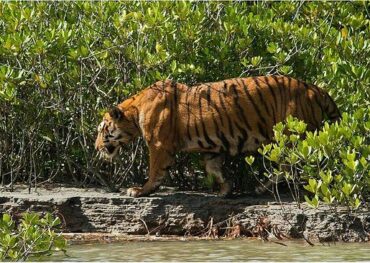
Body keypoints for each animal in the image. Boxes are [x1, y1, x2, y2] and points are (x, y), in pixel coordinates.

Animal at [94, 75, 342, 197]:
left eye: (102, 129)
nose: (96, 147)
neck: (135, 111)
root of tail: (316, 89)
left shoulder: (159, 144)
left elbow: (154, 171)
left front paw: (140, 190)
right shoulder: (212, 147)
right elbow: (213, 169)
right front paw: (225, 190)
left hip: (292, 137)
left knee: (294, 166)